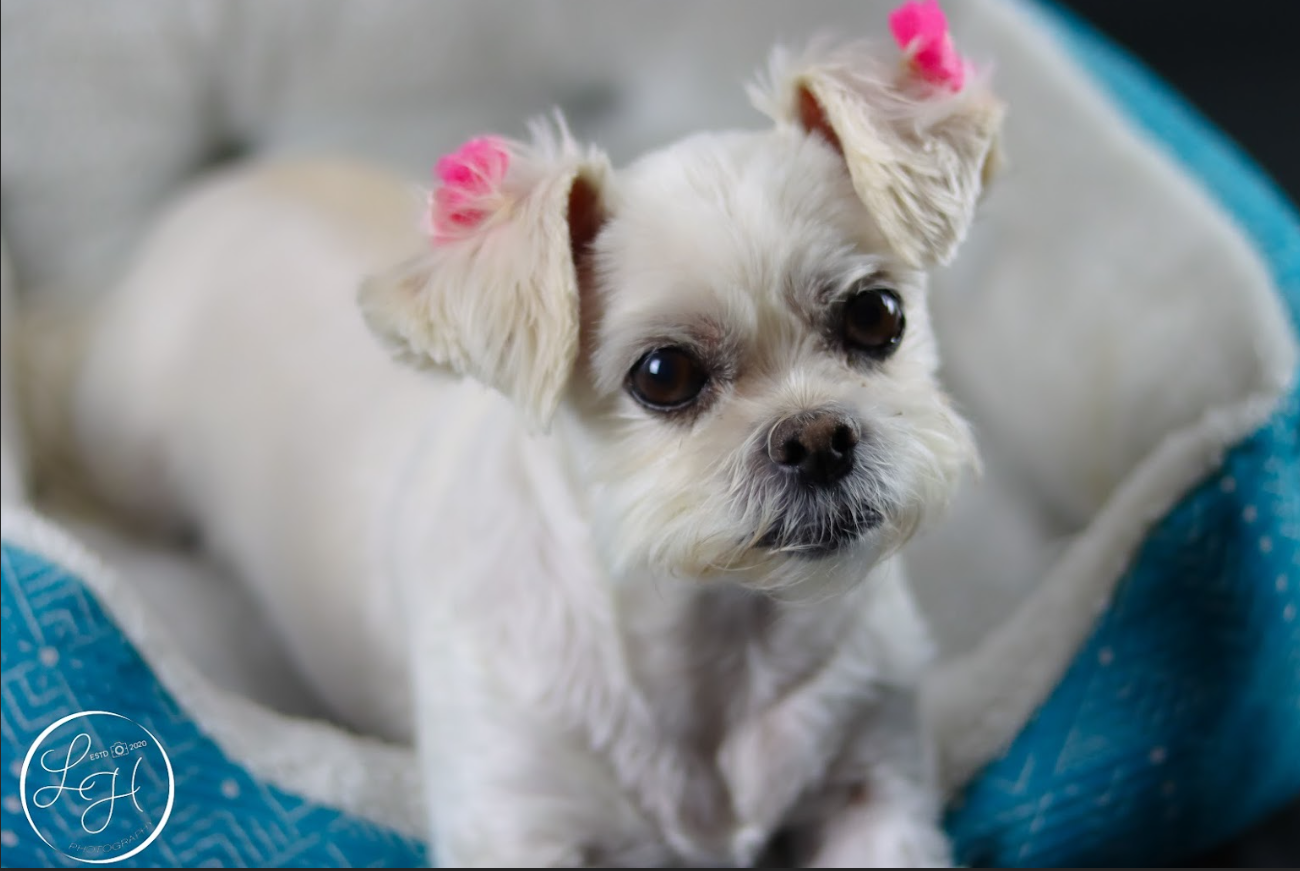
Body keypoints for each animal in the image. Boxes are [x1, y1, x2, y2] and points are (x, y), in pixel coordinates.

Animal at [57, 35, 1003, 867]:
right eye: (663, 373)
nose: (816, 436)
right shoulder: (515, 812)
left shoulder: (873, 779)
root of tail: (220, 186)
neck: (719, 644)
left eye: (877, 314)